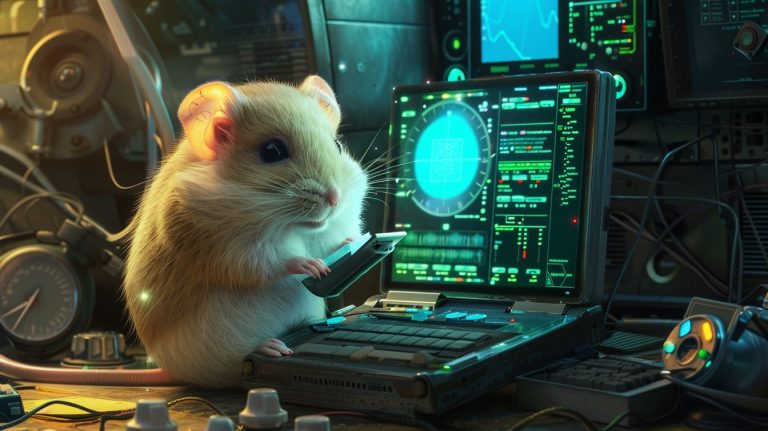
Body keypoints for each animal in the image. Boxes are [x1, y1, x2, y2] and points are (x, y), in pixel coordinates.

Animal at [123, 75, 368, 387]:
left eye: (337, 145)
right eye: (272, 152)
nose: (335, 198)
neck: (288, 224)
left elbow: (332, 246)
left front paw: (354, 241)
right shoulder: (221, 247)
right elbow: (271, 262)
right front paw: (310, 266)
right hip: (213, 345)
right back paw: (271, 346)